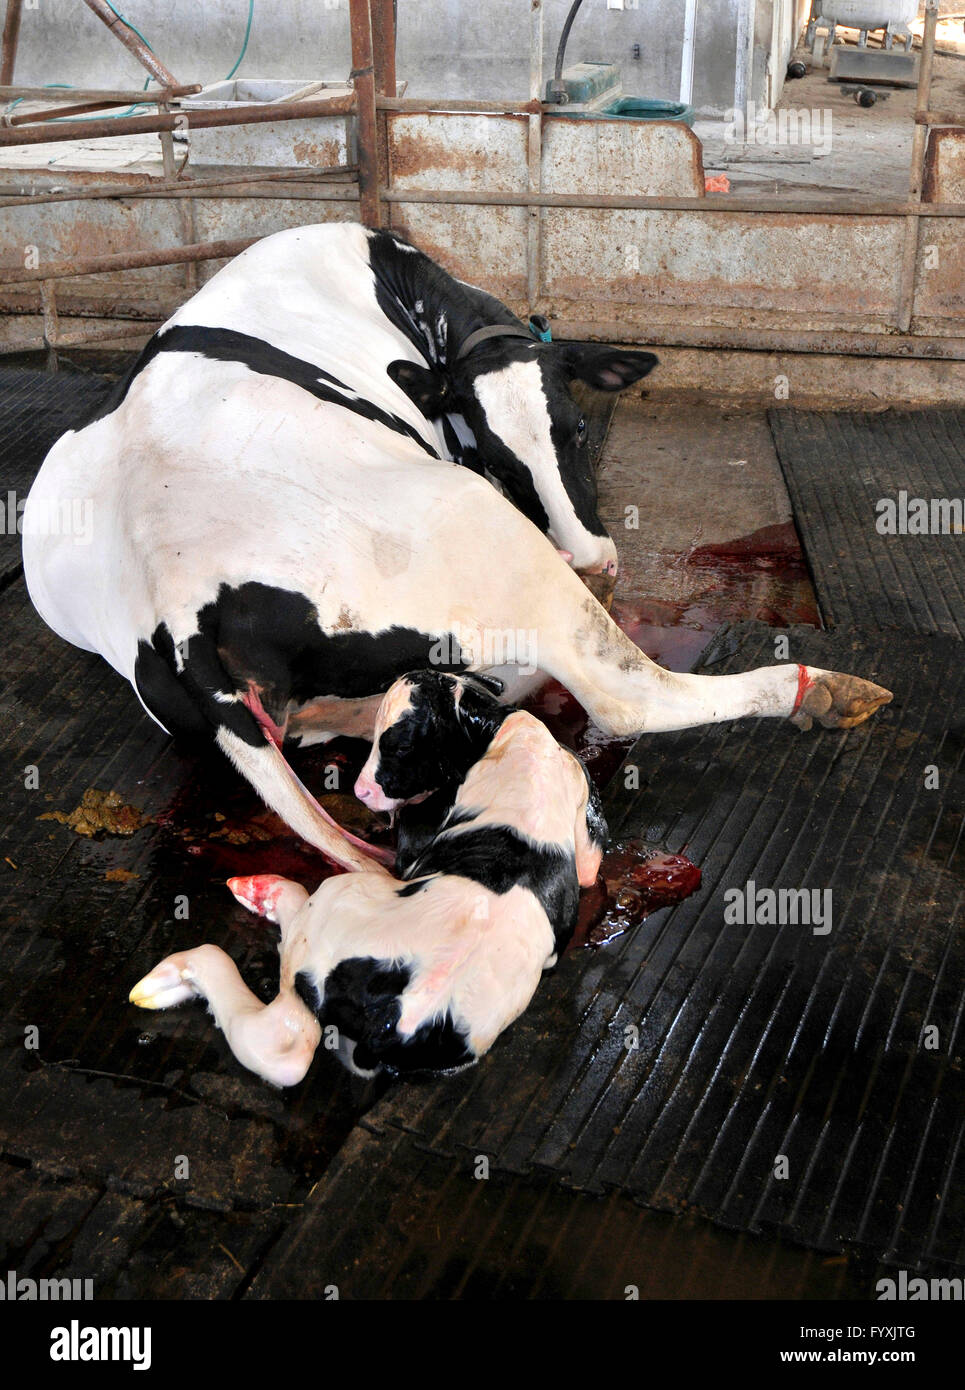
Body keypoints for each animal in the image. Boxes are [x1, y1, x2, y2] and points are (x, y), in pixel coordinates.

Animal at [22, 219, 895, 867]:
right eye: (494, 457)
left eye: (576, 432)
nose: (593, 563)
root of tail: (174, 611)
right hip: (494, 548)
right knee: (627, 695)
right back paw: (816, 690)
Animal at [131, 672, 609, 1084]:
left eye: (400, 744)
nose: (361, 791)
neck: (501, 733)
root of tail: (401, 1014)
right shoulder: (582, 808)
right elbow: (589, 864)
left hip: (332, 907)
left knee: (285, 1030)